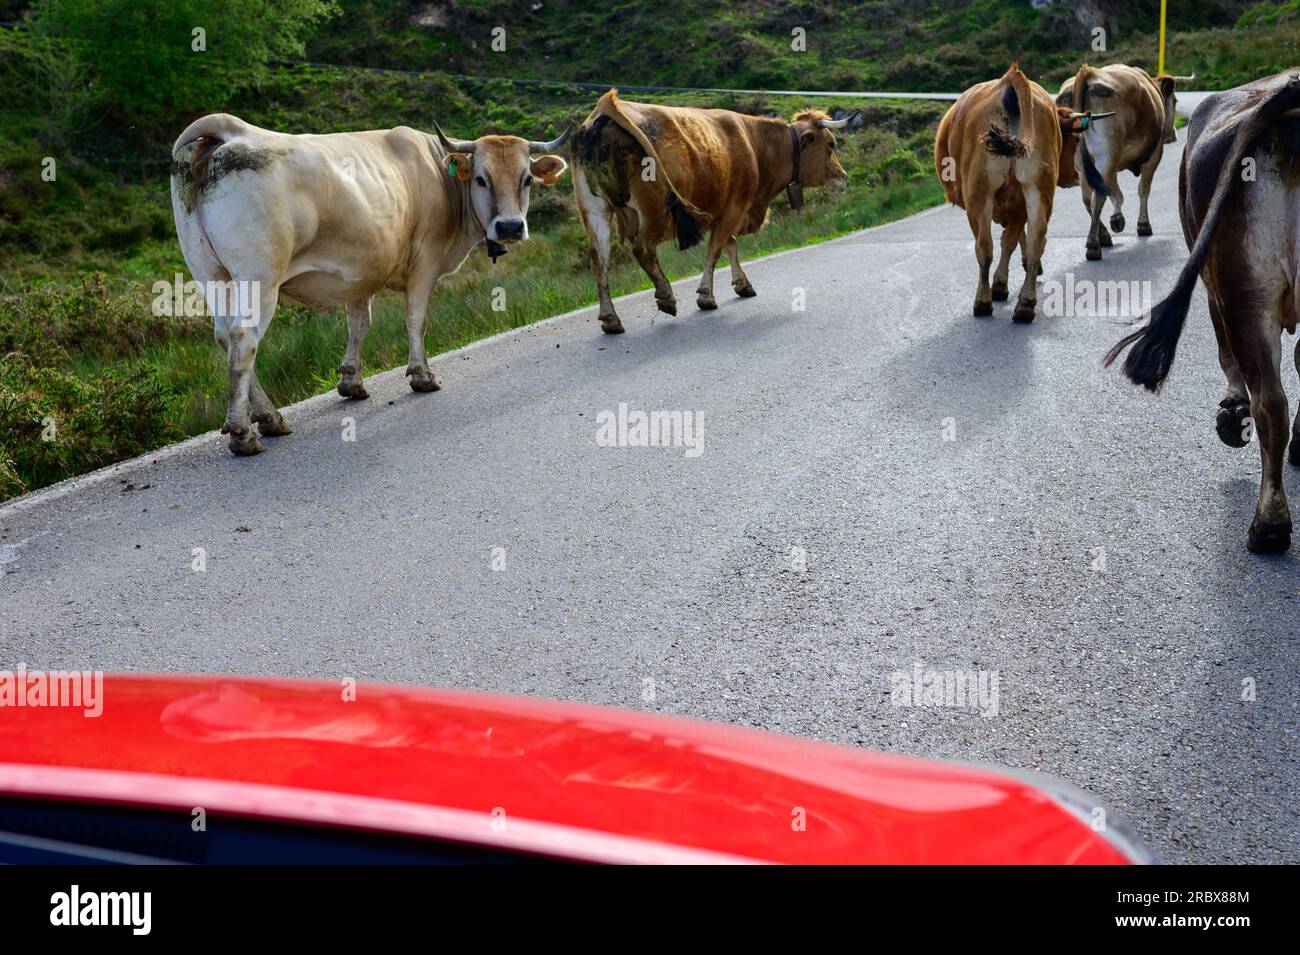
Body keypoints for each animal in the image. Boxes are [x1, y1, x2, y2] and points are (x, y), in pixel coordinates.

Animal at [170, 114, 571, 454]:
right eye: (481, 178)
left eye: (527, 179)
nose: (510, 227)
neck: (439, 175)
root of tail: (232, 130)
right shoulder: (425, 263)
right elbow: (416, 320)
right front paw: (422, 376)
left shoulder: (357, 273)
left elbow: (360, 324)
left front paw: (351, 382)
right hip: (258, 277)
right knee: (244, 339)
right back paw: (244, 433)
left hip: (210, 273)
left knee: (225, 337)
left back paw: (270, 418)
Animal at [571, 90, 850, 335]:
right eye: (831, 144)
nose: (843, 175)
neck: (755, 144)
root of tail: (606, 107)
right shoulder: (735, 206)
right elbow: (716, 249)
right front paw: (706, 296)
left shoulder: (724, 209)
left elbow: (730, 245)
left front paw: (742, 283)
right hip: (652, 210)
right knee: (643, 251)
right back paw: (666, 297)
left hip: (595, 211)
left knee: (599, 260)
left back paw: (610, 319)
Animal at [935, 65, 1099, 322]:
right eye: (1074, 140)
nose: (1075, 174)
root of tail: (1011, 77)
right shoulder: (1019, 204)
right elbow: (1014, 238)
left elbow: (1007, 240)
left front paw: (999, 285)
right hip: (1038, 188)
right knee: (1036, 240)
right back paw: (1026, 304)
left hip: (979, 194)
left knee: (984, 246)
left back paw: (983, 301)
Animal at [1056, 64, 1190, 260]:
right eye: (1174, 100)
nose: (1173, 134)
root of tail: (1089, 72)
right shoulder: (1154, 155)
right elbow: (1143, 189)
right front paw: (1143, 225)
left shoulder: (1112, 164)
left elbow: (1115, 192)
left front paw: (1117, 218)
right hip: (1106, 154)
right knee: (1098, 197)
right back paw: (1093, 246)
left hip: (1085, 163)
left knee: (1088, 199)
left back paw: (1103, 235)